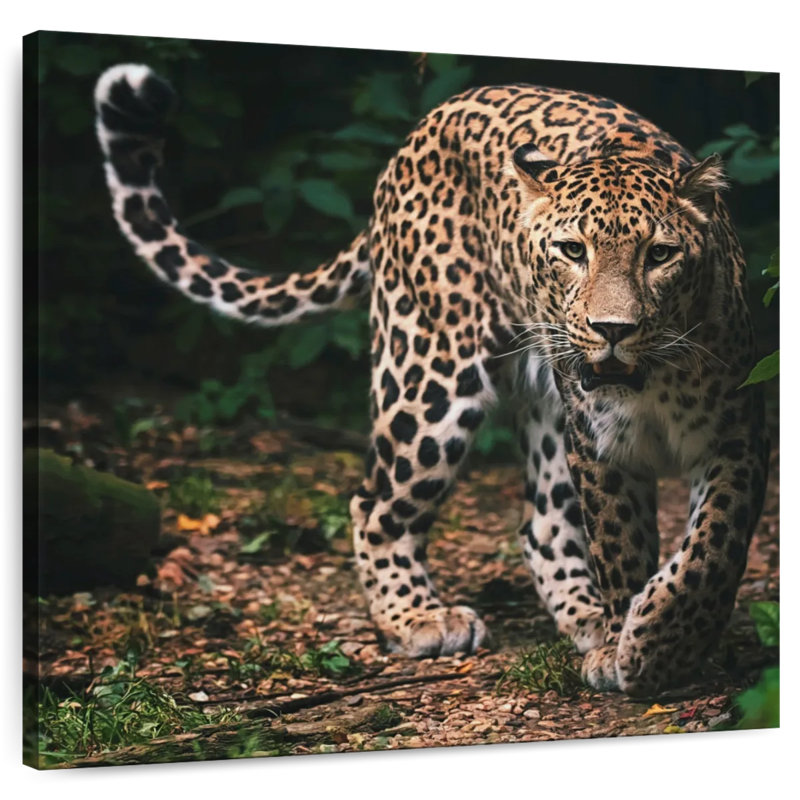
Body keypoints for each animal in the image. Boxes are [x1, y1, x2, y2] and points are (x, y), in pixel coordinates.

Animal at [94, 63, 769, 696]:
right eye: (573, 251)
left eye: (660, 255)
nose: (611, 329)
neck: (651, 381)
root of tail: (419, 131)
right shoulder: (600, 448)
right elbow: (622, 550)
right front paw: (635, 646)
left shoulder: (738, 435)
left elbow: (713, 548)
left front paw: (658, 642)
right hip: (430, 373)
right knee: (374, 503)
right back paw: (419, 618)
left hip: (540, 405)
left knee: (542, 524)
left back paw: (583, 619)